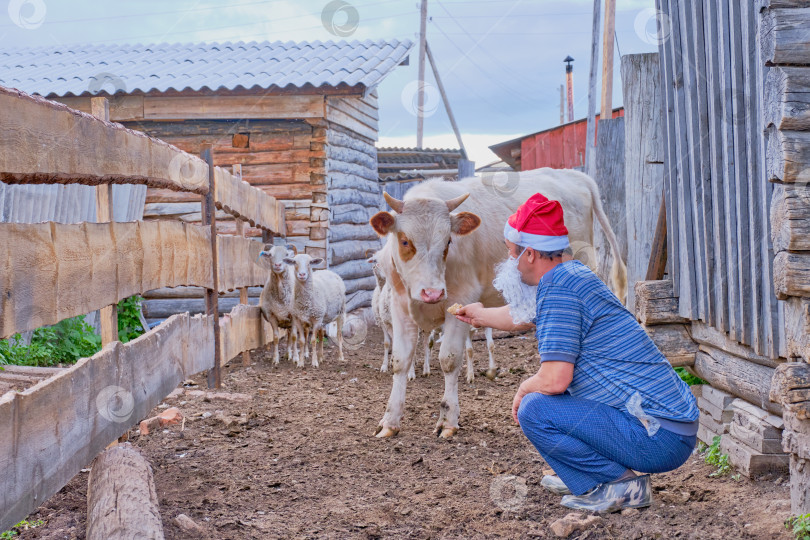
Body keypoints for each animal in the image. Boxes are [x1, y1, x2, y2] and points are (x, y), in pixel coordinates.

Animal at [368, 168, 624, 438]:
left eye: (448, 242)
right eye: (405, 241)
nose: (432, 293)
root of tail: (574, 175)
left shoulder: (462, 298)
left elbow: (449, 359)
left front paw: (448, 420)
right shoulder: (399, 306)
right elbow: (400, 361)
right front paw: (390, 421)